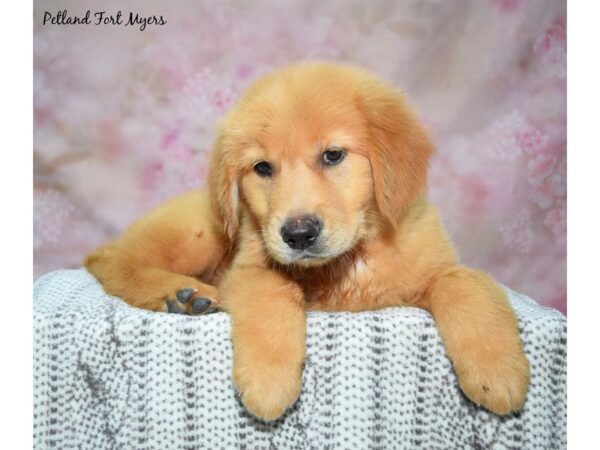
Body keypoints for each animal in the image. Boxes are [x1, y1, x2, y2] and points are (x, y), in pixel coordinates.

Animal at [85, 61, 528, 420]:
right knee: (116, 263)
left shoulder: (431, 265)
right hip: (202, 227)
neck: (348, 262)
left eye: (333, 155)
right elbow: (275, 292)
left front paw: (497, 373)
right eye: (263, 168)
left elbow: (464, 283)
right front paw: (269, 383)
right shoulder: (246, 269)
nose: (298, 234)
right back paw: (180, 296)